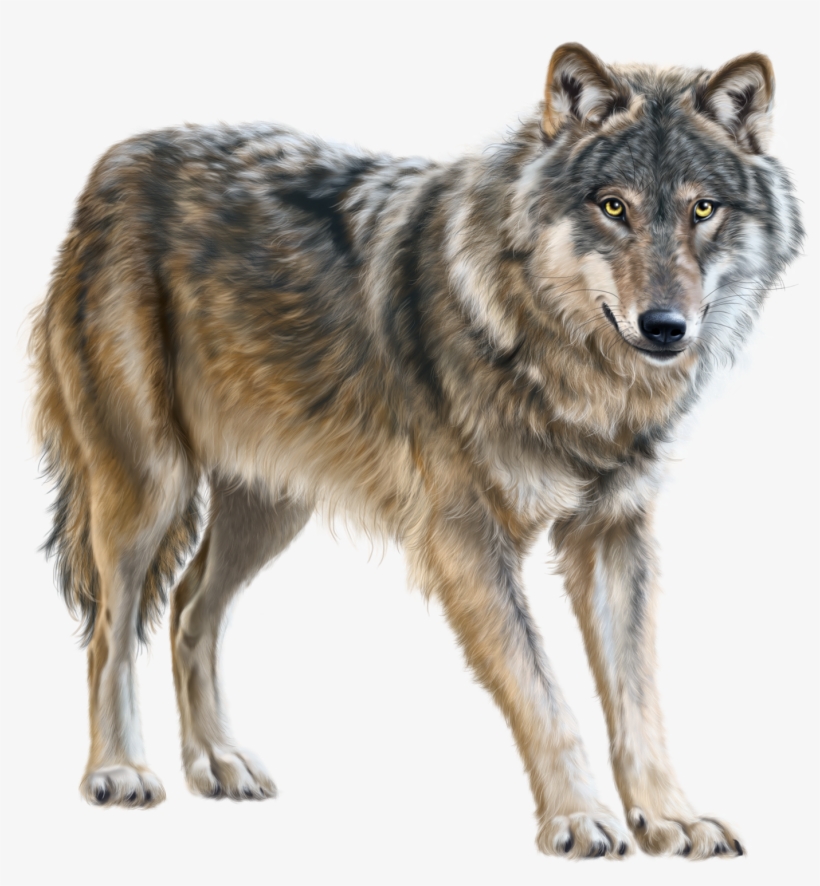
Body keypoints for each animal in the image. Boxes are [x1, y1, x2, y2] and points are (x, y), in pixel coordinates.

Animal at [30, 43, 801, 858]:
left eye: (703, 209)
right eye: (613, 206)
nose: (665, 327)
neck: (565, 364)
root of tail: (117, 161)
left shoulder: (613, 534)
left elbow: (639, 699)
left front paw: (670, 817)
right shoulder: (466, 540)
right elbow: (544, 693)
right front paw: (578, 819)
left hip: (270, 509)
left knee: (187, 609)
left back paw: (218, 762)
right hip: (151, 489)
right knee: (110, 632)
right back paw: (118, 771)